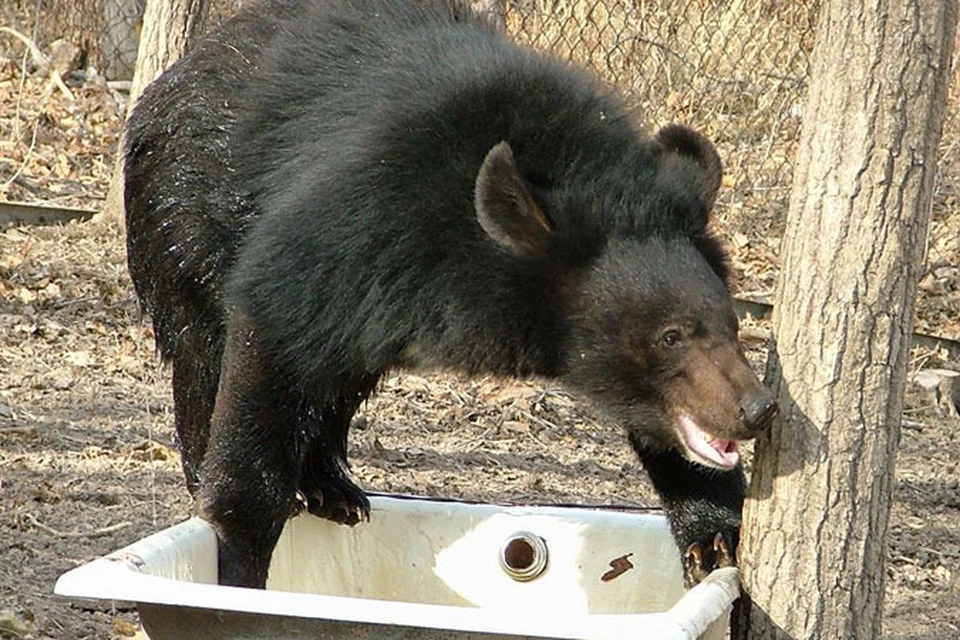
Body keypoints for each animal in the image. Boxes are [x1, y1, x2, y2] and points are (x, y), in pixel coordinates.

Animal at [124, 0, 776, 592]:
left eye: (731, 326)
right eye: (669, 337)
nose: (757, 409)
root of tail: (181, 69)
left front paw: (715, 538)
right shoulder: (355, 222)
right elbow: (274, 329)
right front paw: (237, 562)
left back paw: (330, 488)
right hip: (181, 216)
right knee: (204, 353)